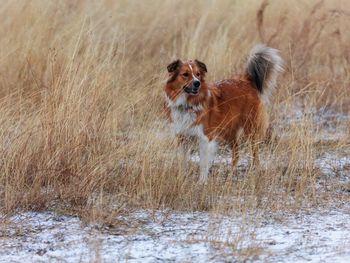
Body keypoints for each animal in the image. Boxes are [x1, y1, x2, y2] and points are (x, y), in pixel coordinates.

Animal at [163, 43, 282, 184]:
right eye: (185, 74)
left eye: (198, 74)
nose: (197, 83)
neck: (188, 104)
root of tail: (246, 80)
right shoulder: (182, 137)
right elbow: (183, 161)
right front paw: (182, 178)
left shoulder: (205, 138)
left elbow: (203, 163)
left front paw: (202, 182)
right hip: (229, 130)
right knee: (236, 152)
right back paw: (230, 175)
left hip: (250, 129)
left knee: (255, 154)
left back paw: (254, 172)